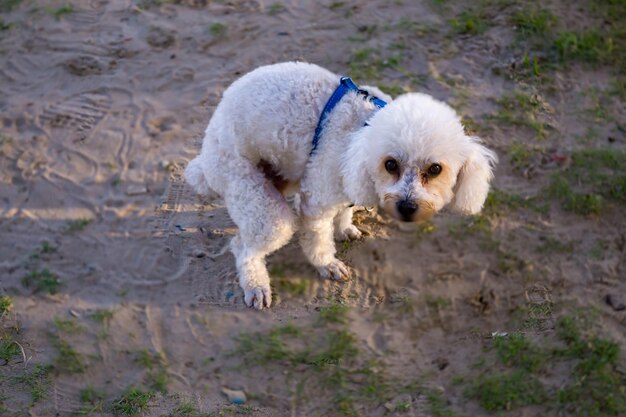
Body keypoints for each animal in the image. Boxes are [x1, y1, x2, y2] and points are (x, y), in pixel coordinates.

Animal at [183, 61, 494, 308]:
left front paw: (344, 229)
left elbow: (345, 209)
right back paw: (256, 285)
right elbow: (318, 239)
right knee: (242, 246)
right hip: (255, 197)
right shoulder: (316, 200)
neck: (362, 127)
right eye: (390, 164)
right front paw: (327, 264)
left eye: (435, 169)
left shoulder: (346, 183)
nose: (407, 208)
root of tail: (206, 157)